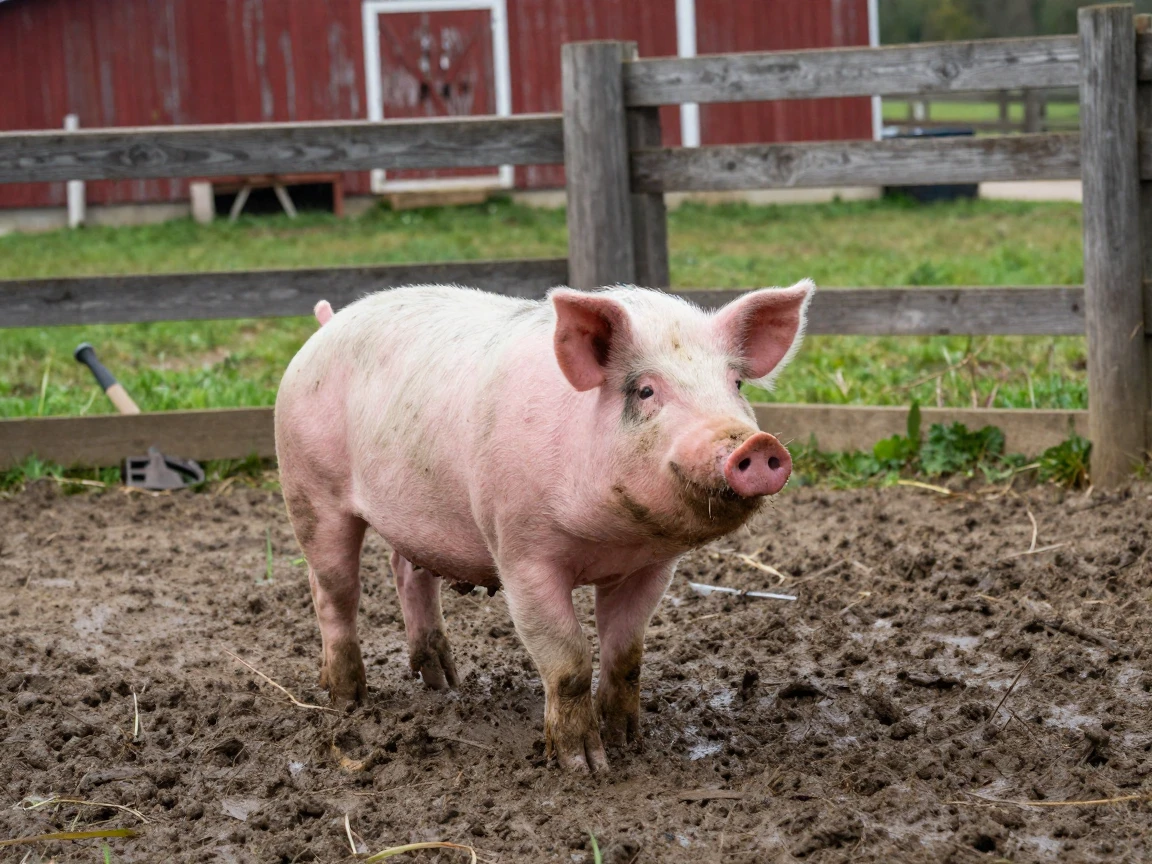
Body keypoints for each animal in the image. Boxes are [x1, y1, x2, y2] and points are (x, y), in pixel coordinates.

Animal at [275, 280, 813, 772]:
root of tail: (326, 325)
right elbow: (569, 658)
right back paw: (348, 700)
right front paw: (583, 766)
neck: (613, 540)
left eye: (736, 385)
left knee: (407, 572)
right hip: (309, 487)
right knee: (333, 590)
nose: (756, 444)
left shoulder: (652, 567)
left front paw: (628, 743)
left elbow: (626, 654)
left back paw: (445, 683)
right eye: (646, 390)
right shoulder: (521, 552)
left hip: (417, 514)